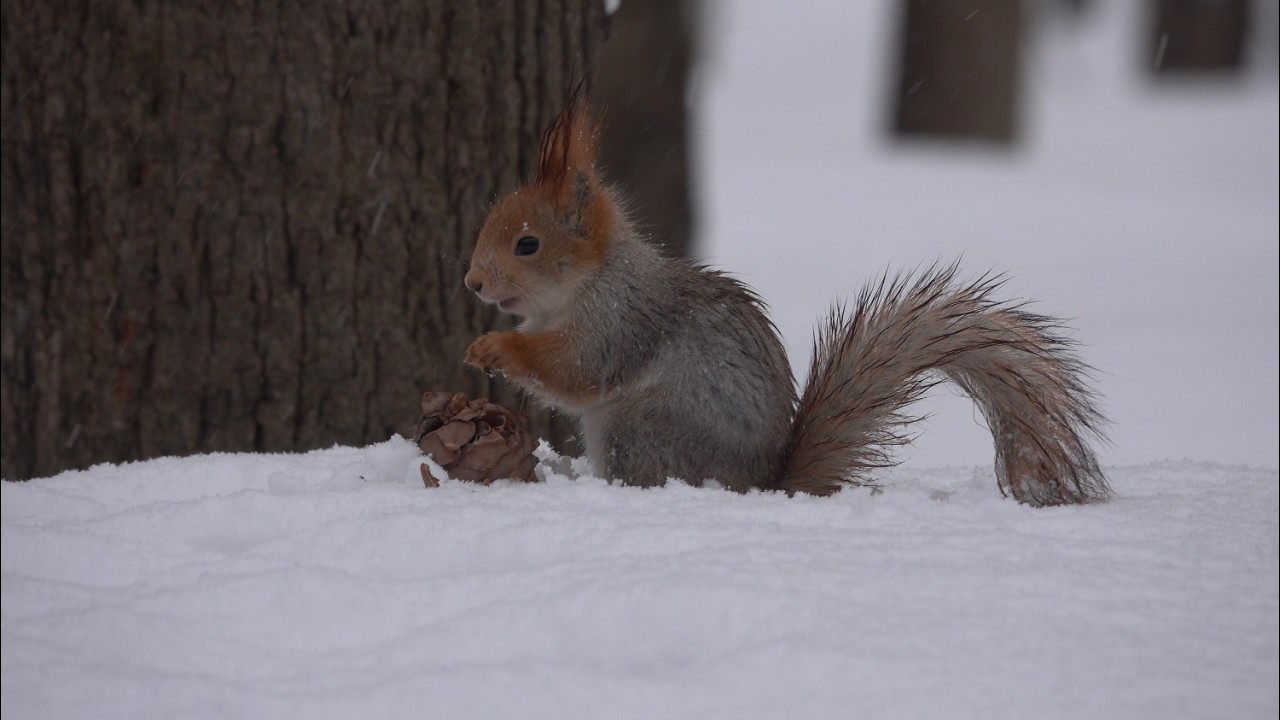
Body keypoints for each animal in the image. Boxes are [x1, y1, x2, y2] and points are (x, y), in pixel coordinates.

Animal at [463, 94, 1110, 507]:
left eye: (527, 244)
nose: (471, 283)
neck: (586, 283)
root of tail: (764, 485)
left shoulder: (620, 320)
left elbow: (573, 370)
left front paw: (494, 347)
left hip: (638, 429)